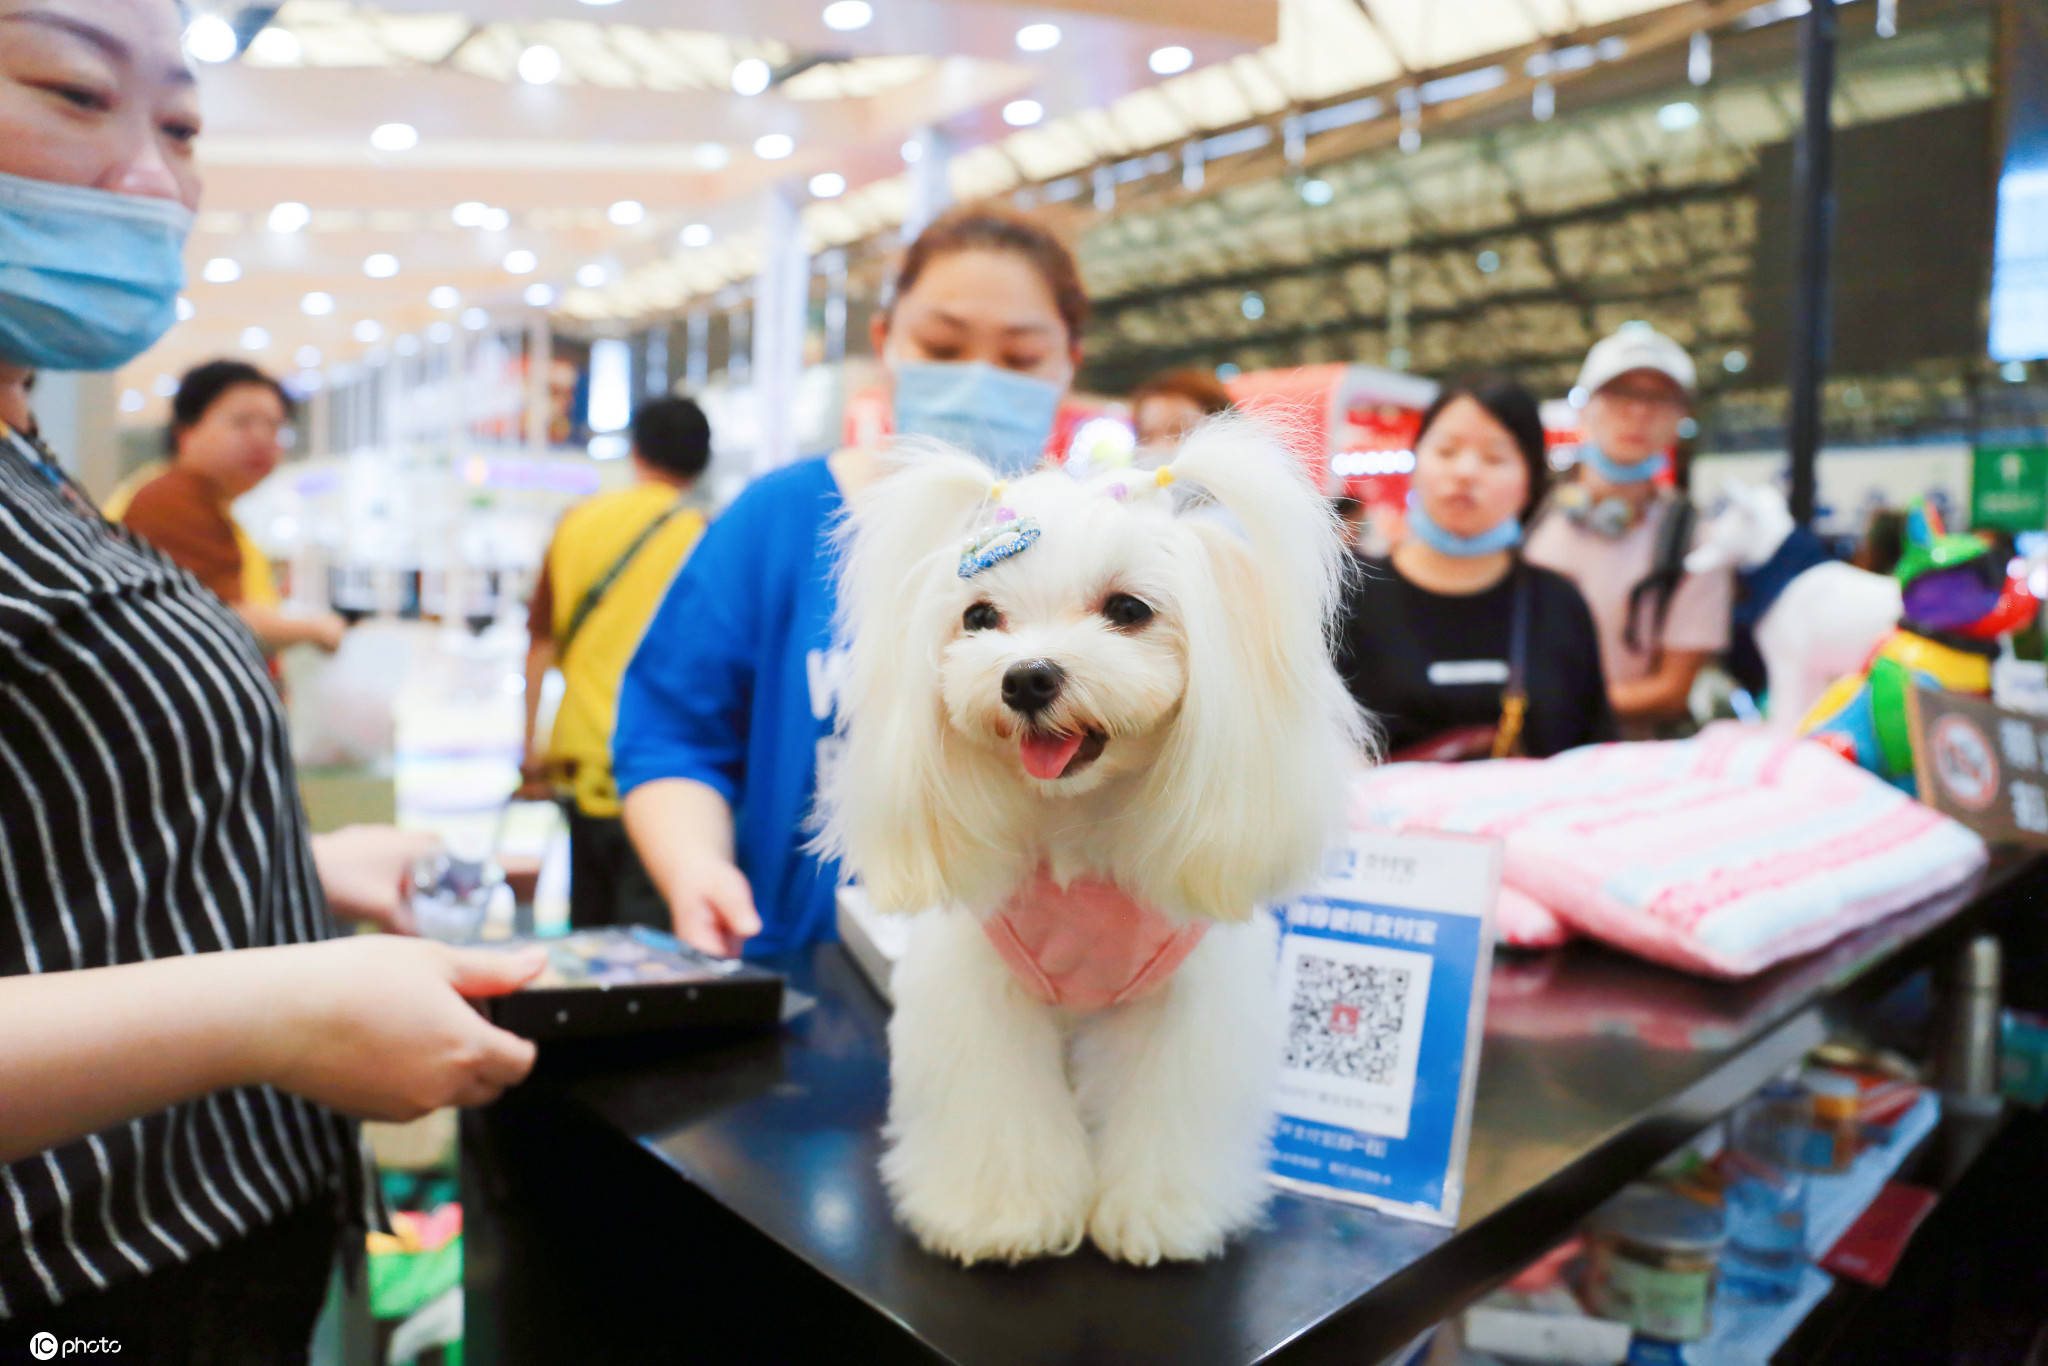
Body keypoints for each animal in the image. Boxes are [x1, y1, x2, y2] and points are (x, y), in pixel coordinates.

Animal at [815, 419, 1359, 1269]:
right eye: (979, 618)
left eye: (1128, 609)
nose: (1027, 678)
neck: (1077, 823)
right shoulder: (983, 992)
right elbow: (998, 1112)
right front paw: (998, 1217)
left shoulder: (1183, 1004)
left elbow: (1166, 1115)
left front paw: (1161, 1216)